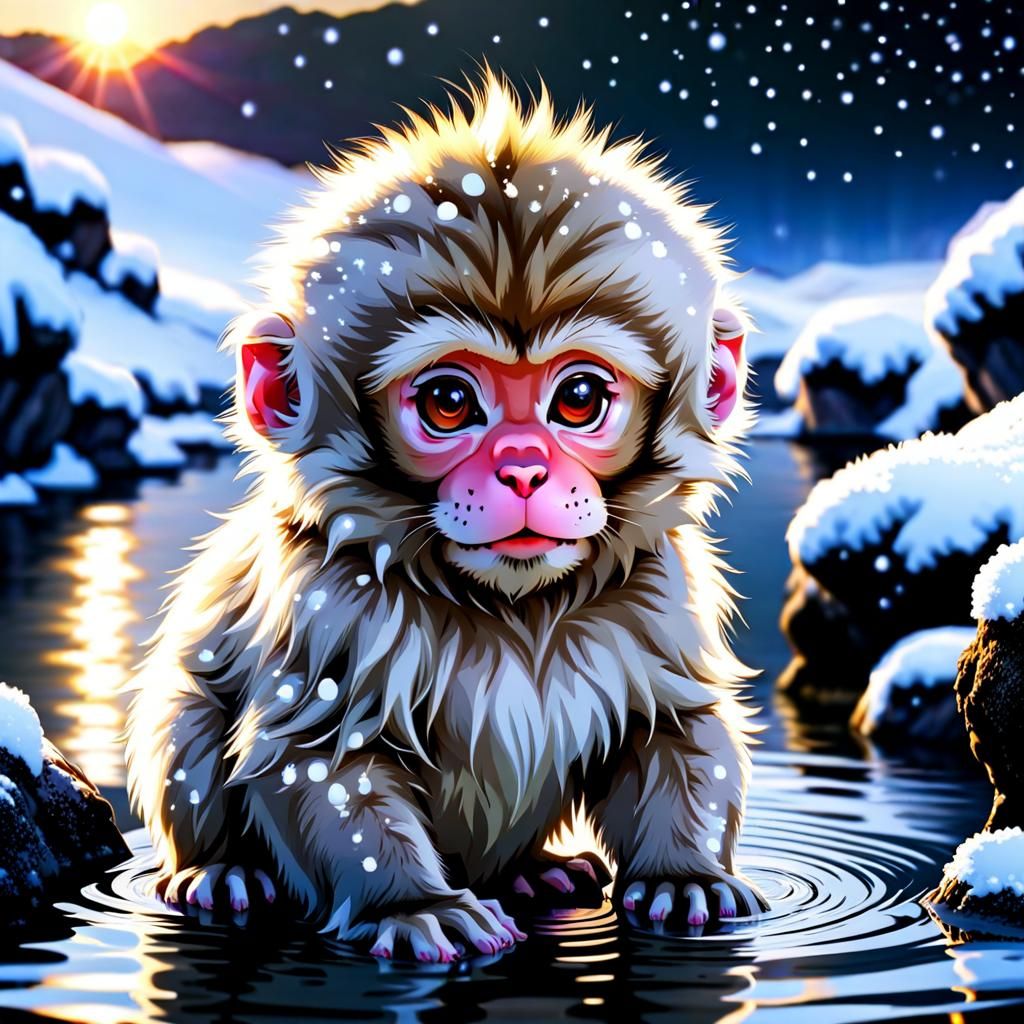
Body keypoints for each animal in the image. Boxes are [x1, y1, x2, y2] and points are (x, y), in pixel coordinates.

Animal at [125, 71, 765, 962]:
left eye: (579, 397)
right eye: (449, 403)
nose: (523, 467)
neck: (510, 609)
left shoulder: (659, 596)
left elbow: (674, 727)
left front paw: (685, 875)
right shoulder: (327, 606)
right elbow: (320, 757)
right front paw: (413, 903)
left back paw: (535, 874)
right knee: (186, 711)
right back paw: (219, 870)